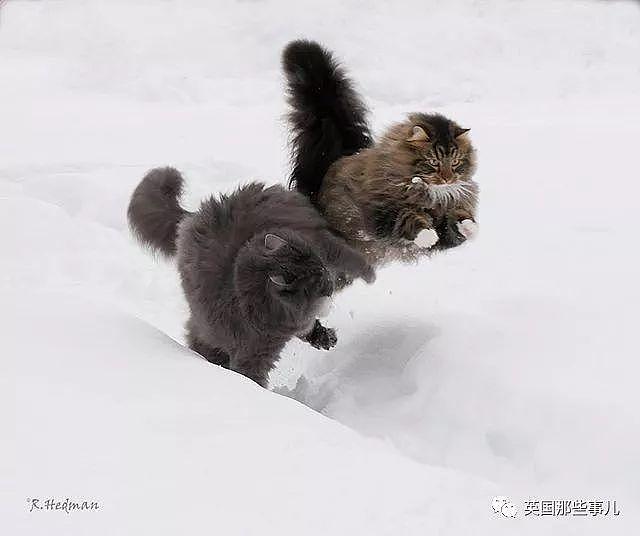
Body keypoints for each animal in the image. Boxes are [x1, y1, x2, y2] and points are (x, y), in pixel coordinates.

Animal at [127, 168, 372, 386]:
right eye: (317, 277)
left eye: (320, 269)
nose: (328, 278)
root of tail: (195, 215)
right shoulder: (254, 353)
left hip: (314, 233)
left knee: (347, 254)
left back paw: (369, 274)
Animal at [282, 40, 478, 266]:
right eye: (433, 162)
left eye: (455, 162)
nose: (447, 179)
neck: (432, 194)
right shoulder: (382, 211)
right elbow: (408, 219)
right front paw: (428, 236)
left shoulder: (451, 213)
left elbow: (459, 219)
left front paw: (471, 227)